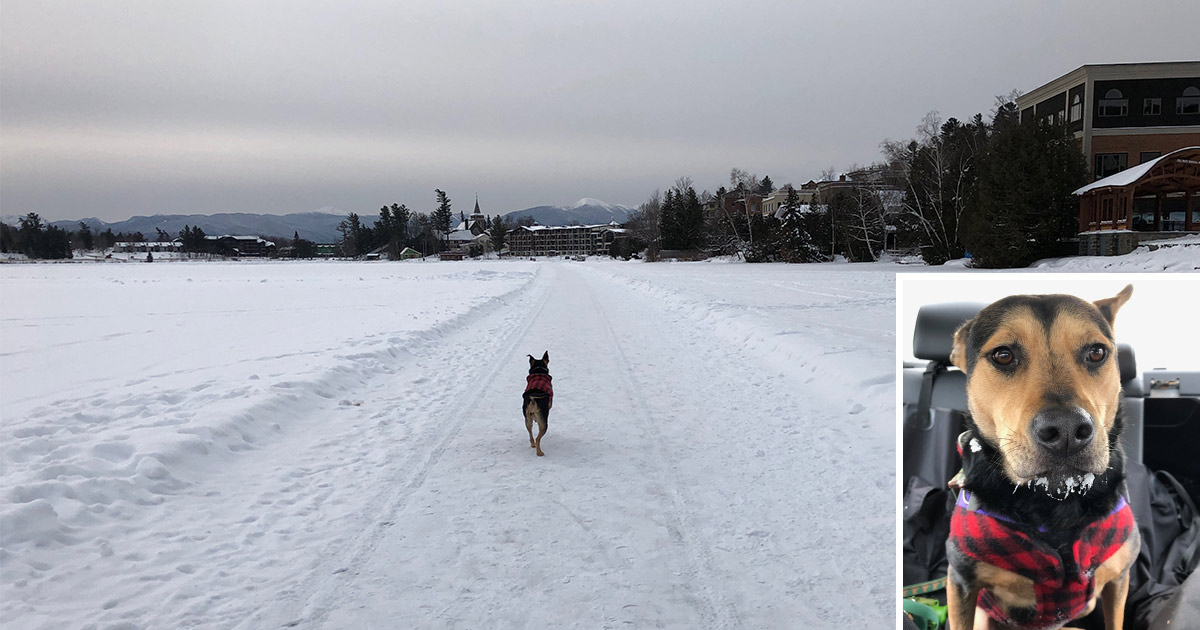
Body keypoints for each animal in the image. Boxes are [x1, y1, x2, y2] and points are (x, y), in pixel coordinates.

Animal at [945, 284, 1132, 628]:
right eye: (1003, 355)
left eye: (1097, 352)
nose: (1067, 430)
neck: (1053, 501)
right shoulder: (961, 582)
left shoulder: (1119, 577)